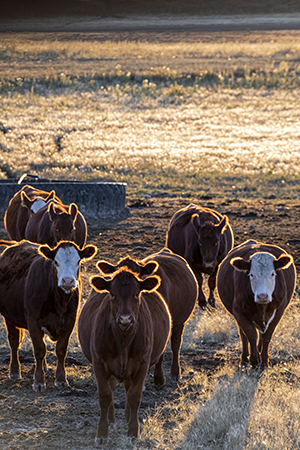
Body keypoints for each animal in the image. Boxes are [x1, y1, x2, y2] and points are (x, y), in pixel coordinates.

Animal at [0, 239, 96, 390]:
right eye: (56, 262)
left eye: (78, 261)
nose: (67, 281)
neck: (59, 302)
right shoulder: (33, 321)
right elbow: (39, 350)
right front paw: (39, 381)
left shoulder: (70, 321)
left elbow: (61, 350)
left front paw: (61, 380)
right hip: (9, 317)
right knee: (14, 342)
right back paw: (15, 373)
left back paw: (44, 367)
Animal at [77, 262, 171, 442]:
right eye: (112, 293)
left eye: (137, 293)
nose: (125, 318)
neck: (124, 339)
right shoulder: (99, 363)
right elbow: (105, 396)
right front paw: (102, 432)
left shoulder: (142, 364)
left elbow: (134, 397)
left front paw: (133, 431)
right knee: (112, 389)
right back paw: (112, 419)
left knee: (127, 390)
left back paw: (127, 417)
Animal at [96, 248, 199, 382]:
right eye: (114, 274)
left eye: (138, 274)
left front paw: (158, 377)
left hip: (180, 321)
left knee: (176, 344)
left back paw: (175, 372)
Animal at [217, 239, 296, 370]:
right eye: (251, 275)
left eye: (272, 274)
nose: (262, 296)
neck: (262, 307)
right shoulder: (239, 312)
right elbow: (251, 334)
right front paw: (254, 360)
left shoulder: (278, 312)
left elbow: (266, 337)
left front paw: (264, 362)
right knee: (244, 336)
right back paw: (244, 360)